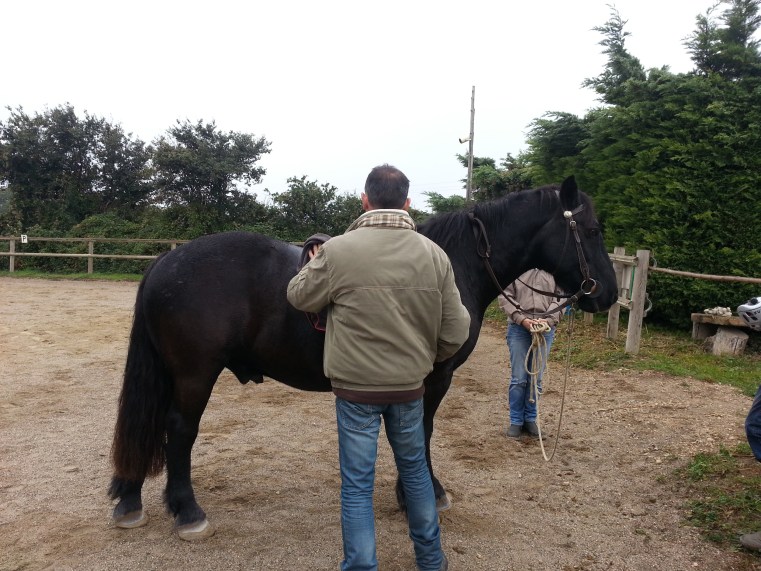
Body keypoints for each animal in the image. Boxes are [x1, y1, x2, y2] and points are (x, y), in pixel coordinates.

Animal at [108, 175, 618, 540]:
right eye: (592, 230)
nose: (608, 294)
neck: (454, 263)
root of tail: (166, 262)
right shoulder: (434, 378)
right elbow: (421, 434)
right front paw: (424, 495)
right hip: (194, 375)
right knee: (179, 430)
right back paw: (187, 512)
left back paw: (130, 501)